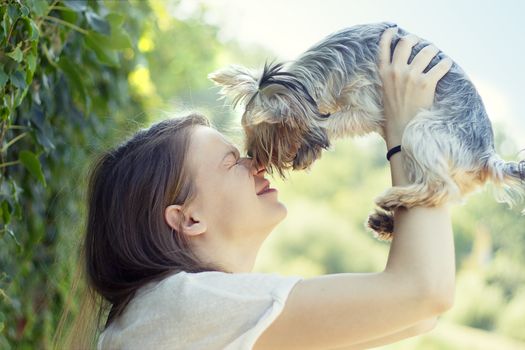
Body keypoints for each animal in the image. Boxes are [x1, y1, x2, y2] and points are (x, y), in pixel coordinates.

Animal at [209, 21, 524, 241]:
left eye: (263, 134)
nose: (252, 155)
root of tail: (486, 156)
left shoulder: (366, 107)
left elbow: (326, 122)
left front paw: (310, 140)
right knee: (442, 196)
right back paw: (388, 221)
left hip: (421, 130)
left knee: (439, 187)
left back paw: (394, 199)